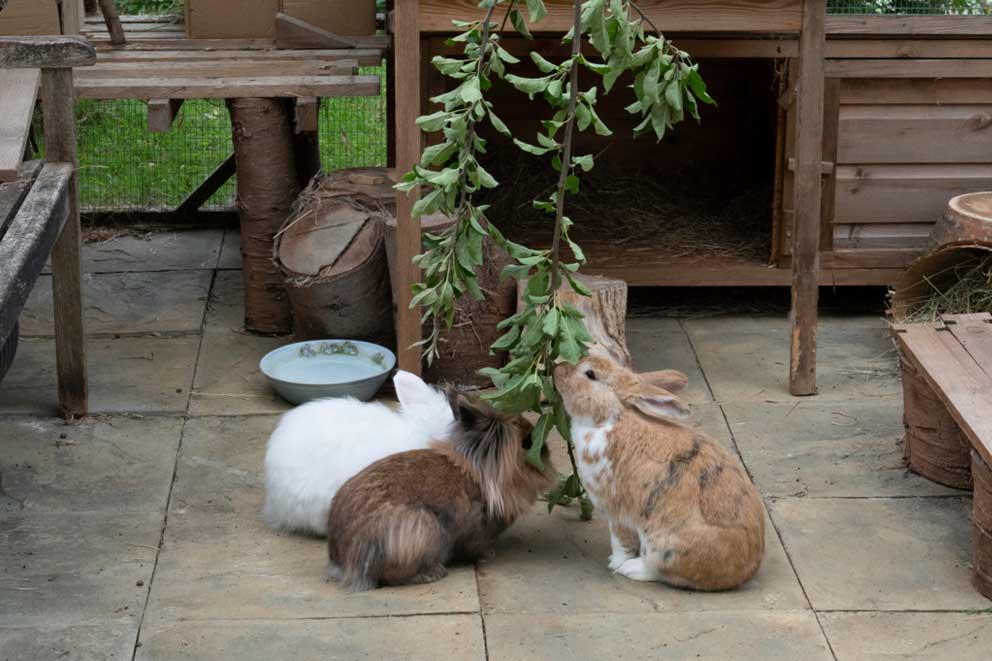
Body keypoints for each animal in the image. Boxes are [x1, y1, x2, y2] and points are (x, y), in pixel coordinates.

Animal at [328, 390, 556, 592]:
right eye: (527, 443)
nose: (546, 451)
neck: (484, 473)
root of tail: (343, 560)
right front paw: (488, 555)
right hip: (421, 529)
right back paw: (433, 573)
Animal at [556, 356, 764, 592]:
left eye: (590, 374)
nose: (557, 369)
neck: (610, 418)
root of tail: (740, 574)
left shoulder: (616, 511)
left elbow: (620, 540)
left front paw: (615, 562)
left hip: (664, 545)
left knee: (660, 570)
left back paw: (630, 568)